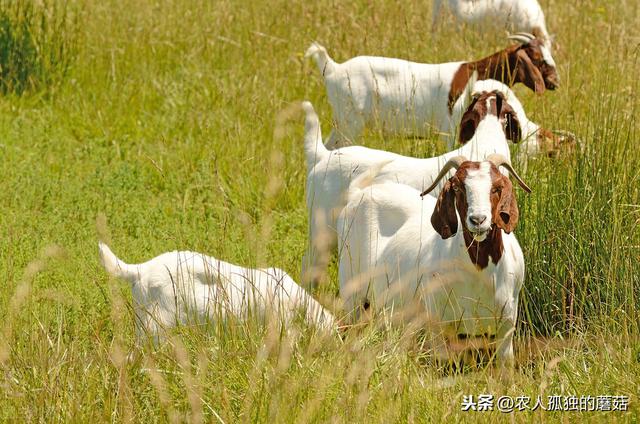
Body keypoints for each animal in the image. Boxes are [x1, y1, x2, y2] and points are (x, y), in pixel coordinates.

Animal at [304, 34, 556, 148]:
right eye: (536, 58)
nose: (555, 82)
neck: (474, 72)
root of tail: (333, 68)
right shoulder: (450, 130)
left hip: (343, 122)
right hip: (351, 122)